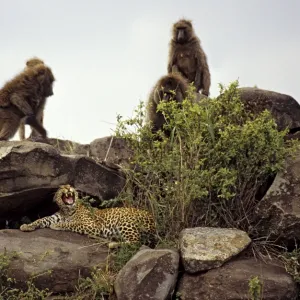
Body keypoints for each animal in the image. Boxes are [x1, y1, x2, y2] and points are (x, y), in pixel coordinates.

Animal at [20, 184, 157, 250]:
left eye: (70, 185)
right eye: (61, 187)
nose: (68, 187)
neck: (67, 210)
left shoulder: (91, 225)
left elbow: (72, 224)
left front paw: (57, 225)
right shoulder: (54, 217)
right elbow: (41, 219)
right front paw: (26, 226)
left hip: (125, 221)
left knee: (136, 242)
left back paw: (112, 244)